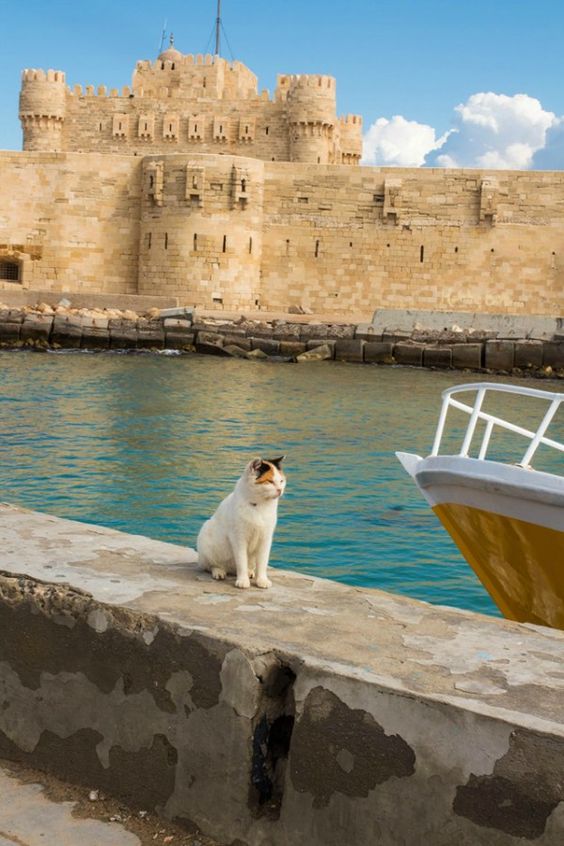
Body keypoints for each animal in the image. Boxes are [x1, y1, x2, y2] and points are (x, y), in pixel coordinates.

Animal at [198, 458, 286, 588]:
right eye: (269, 481)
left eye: (281, 481)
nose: (280, 490)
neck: (259, 505)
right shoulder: (238, 538)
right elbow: (241, 561)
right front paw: (243, 581)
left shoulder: (266, 538)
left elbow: (262, 562)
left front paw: (262, 580)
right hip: (206, 536)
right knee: (211, 565)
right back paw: (219, 572)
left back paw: (250, 572)